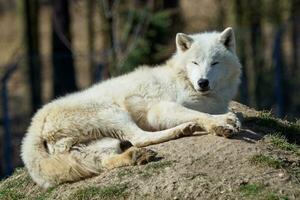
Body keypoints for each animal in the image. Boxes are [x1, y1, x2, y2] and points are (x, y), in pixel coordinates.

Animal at [21, 27, 241, 188]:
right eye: (194, 63)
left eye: (215, 63)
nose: (203, 82)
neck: (182, 79)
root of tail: (34, 127)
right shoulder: (159, 110)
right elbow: (200, 115)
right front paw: (222, 123)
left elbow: (210, 112)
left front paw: (224, 119)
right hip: (115, 113)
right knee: (139, 138)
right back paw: (183, 130)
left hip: (102, 144)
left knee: (106, 161)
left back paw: (137, 155)